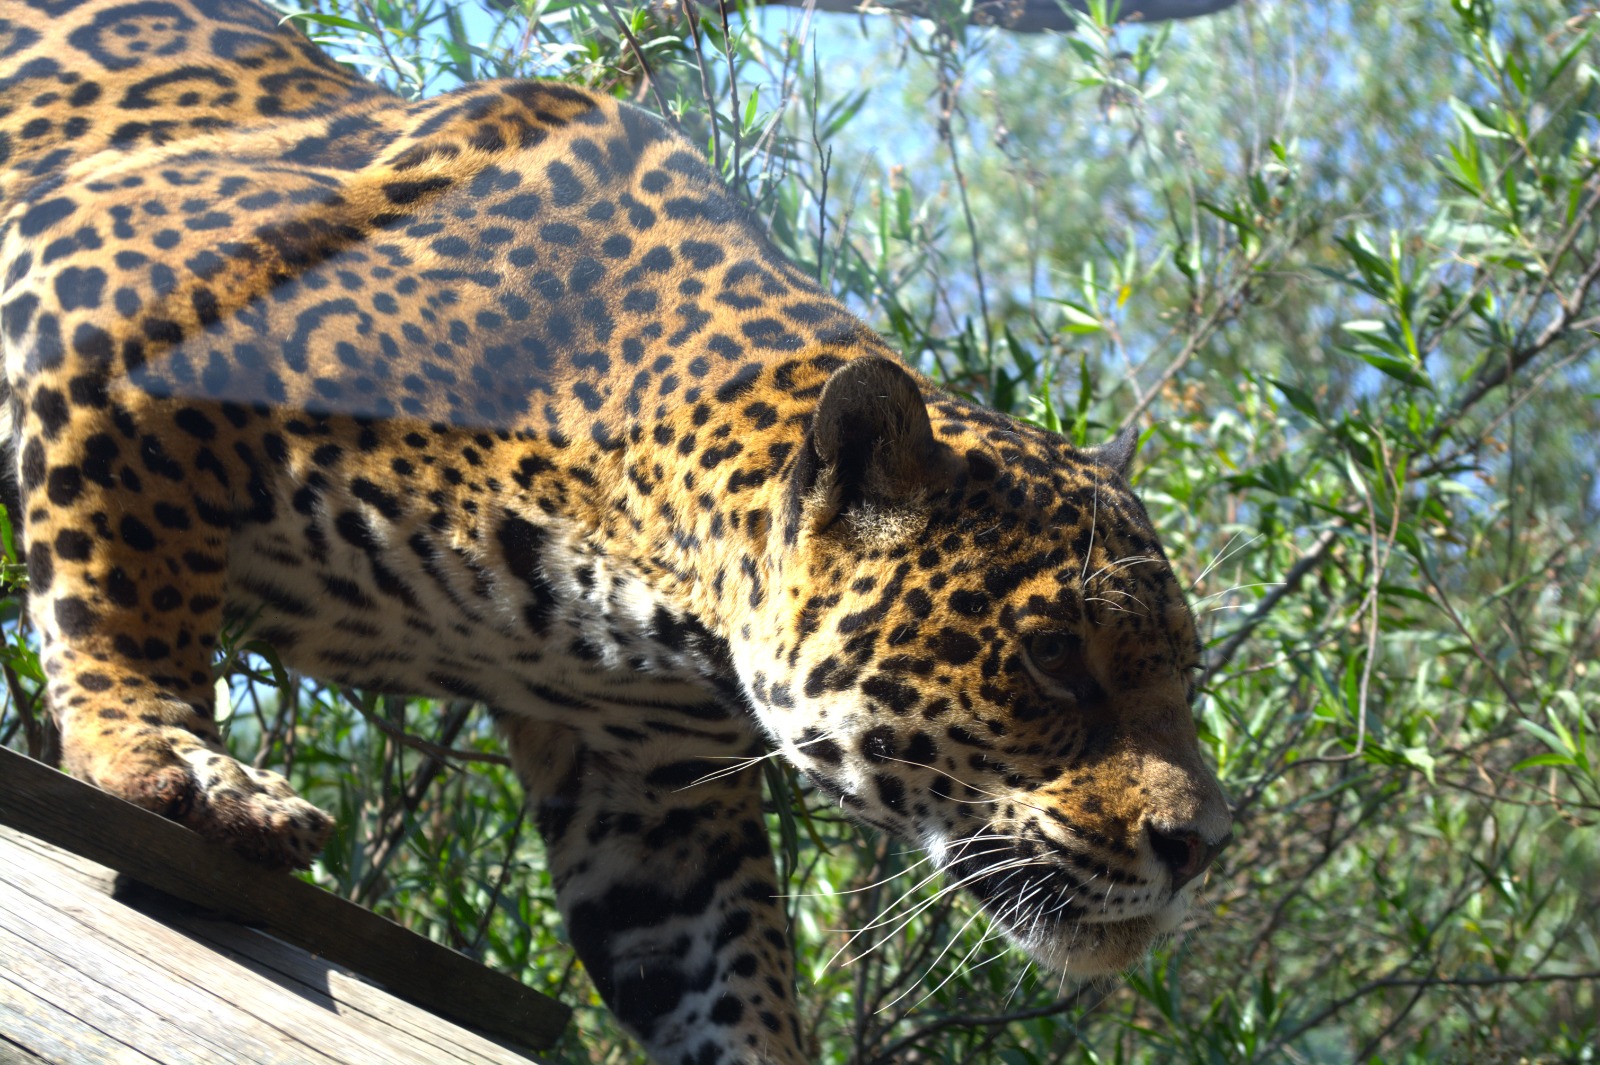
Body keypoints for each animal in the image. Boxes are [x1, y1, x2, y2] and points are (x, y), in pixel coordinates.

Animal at [0, 1, 1232, 1062]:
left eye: (1181, 677)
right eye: (1055, 658)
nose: (1202, 849)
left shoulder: (648, 793)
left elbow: (726, 972)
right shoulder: (106, 278)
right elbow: (130, 590)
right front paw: (173, 760)